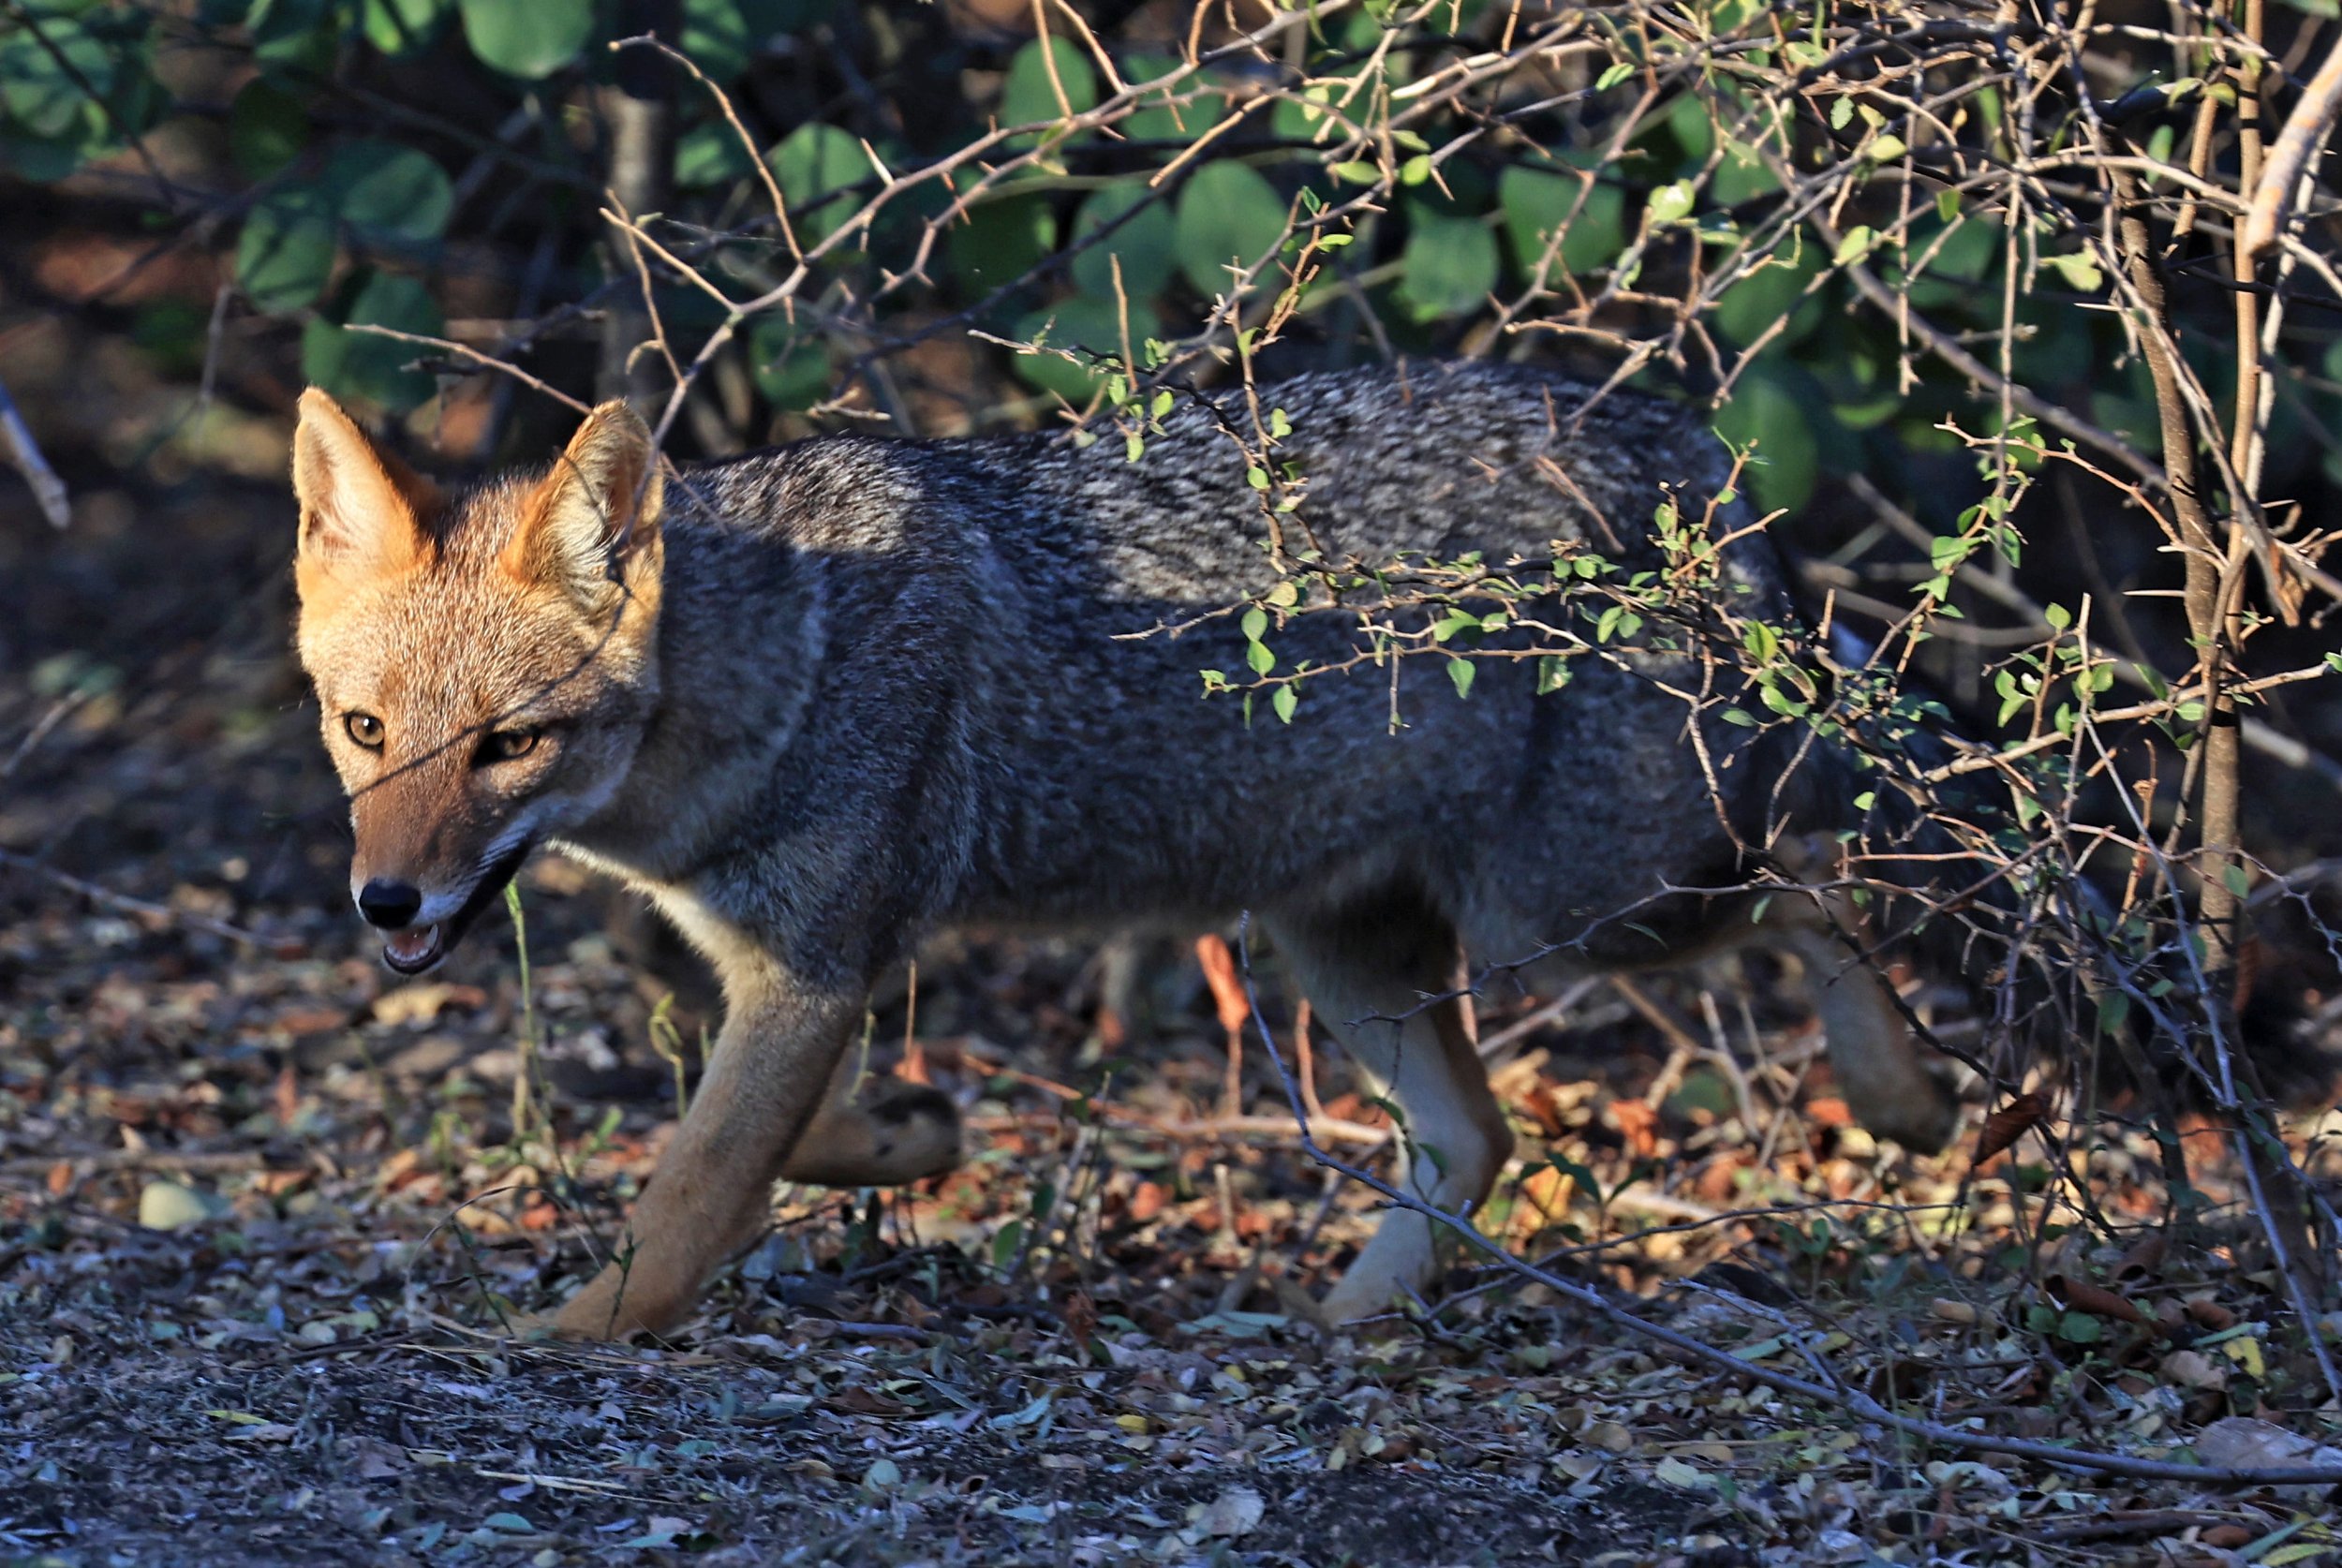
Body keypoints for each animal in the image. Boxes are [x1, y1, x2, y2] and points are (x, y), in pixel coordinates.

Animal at [289, 360, 1957, 1341]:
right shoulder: (795, 970)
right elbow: (770, 1142)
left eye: (511, 745)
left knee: (1833, 870)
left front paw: (569, 1333)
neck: (779, 667)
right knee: (1478, 1136)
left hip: (1590, 908)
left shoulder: (816, 966)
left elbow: (690, 1188)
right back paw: (1344, 1324)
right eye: (365, 733)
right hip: (1349, 944)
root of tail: (1659, 427)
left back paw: (1914, 1097)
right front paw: (912, 1134)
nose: (386, 897)